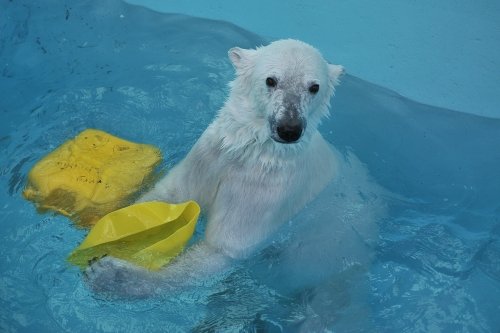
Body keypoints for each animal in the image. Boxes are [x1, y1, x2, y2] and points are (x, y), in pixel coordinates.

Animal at [86, 39, 344, 296]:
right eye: (271, 80)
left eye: (314, 87)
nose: (289, 128)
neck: (249, 153)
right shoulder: (209, 157)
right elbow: (171, 192)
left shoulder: (267, 190)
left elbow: (223, 247)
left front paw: (110, 274)